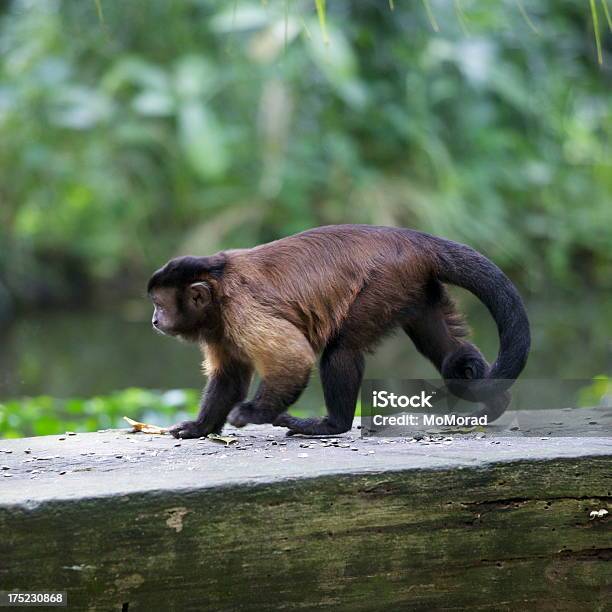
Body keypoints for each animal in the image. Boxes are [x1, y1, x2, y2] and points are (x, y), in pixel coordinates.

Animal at [146, 227, 528, 438]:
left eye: (160, 305)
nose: (153, 321)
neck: (218, 285)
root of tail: (410, 238)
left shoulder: (240, 309)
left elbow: (293, 357)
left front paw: (253, 414)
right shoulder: (220, 326)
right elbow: (229, 377)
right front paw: (200, 428)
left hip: (385, 280)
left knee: (342, 349)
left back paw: (332, 426)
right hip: (412, 284)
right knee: (446, 350)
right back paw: (495, 403)